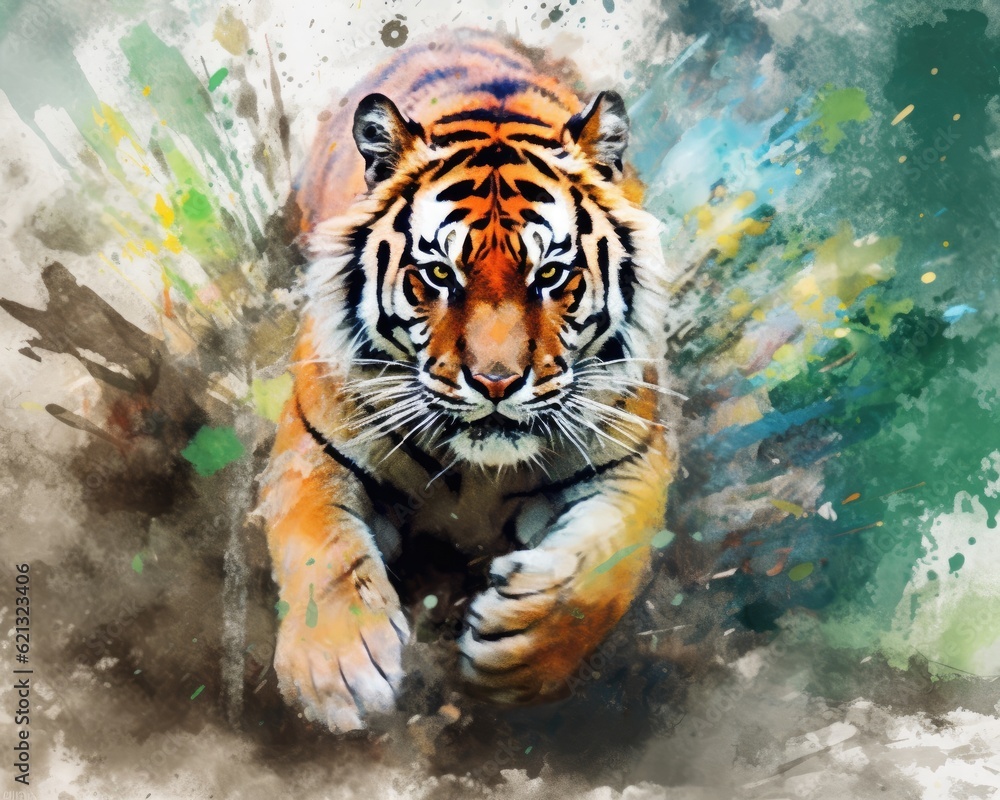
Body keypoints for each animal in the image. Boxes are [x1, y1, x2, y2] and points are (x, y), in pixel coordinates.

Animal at [258, 29, 677, 733]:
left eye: (550, 275)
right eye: (438, 274)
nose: (497, 383)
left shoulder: (634, 456)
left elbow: (614, 555)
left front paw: (522, 652)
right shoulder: (312, 447)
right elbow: (317, 542)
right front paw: (336, 672)